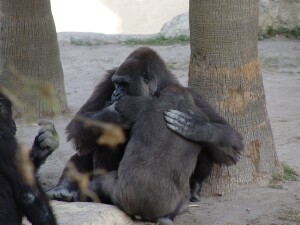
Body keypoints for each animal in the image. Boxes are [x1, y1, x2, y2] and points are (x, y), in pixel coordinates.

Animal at [48, 47, 243, 223]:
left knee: (209, 146)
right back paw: (65, 188)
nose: (115, 93)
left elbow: (230, 138)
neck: (158, 89)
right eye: (116, 83)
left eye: (124, 84)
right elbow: (79, 124)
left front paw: (196, 127)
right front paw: (113, 114)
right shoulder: (109, 79)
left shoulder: (194, 95)